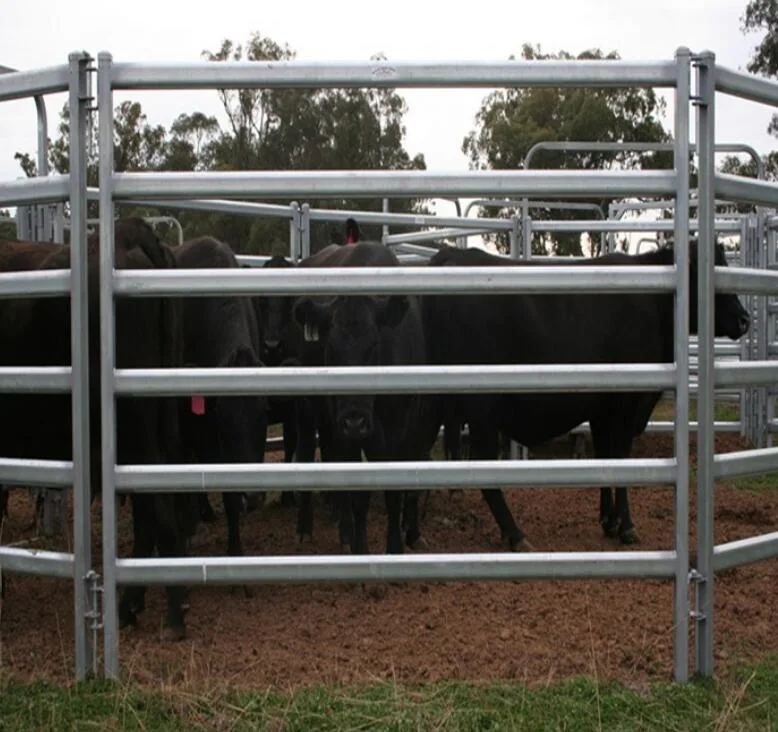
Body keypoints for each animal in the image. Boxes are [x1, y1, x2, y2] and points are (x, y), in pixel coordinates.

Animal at [292, 240, 436, 556]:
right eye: (331, 349)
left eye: (374, 347)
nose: (354, 422)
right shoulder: (348, 431)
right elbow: (358, 495)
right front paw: (361, 549)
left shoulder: (402, 427)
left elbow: (393, 492)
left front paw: (394, 547)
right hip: (313, 412)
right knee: (309, 451)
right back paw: (309, 529)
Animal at [422, 243, 748, 548]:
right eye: (712, 272)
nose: (744, 319)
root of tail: (453, 254)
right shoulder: (626, 405)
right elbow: (620, 457)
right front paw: (626, 526)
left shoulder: (602, 408)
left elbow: (605, 456)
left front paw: (609, 520)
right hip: (480, 407)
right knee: (483, 465)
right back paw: (515, 534)